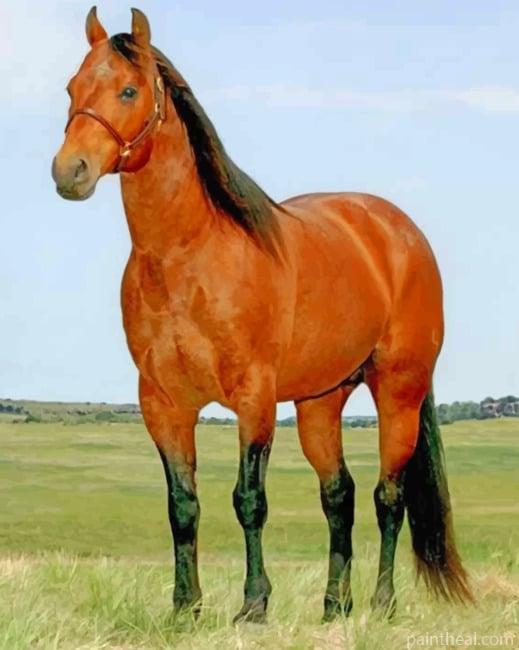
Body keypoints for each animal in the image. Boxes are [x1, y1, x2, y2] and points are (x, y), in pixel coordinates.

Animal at [52, 7, 472, 623]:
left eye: (128, 89)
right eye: (72, 88)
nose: (69, 172)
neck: (189, 257)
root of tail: (399, 233)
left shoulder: (254, 399)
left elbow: (249, 500)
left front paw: (253, 604)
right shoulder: (162, 403)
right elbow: (183, 505)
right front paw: (185, 607)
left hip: (399, 391)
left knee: (387, 497)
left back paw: (382, 603)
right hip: (321, 403)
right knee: (339, 495)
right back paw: (335, 605)